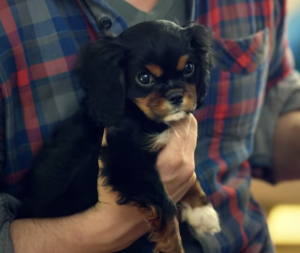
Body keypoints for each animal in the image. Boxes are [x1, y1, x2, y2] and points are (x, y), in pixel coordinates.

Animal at [18, 20, 220, 253]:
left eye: (189, 68)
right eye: (144, 78)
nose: (176, 95)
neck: (143, 116)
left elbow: (191, 179)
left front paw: (202, 211)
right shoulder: (126, 159)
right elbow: (165, 204)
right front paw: (174, 247)